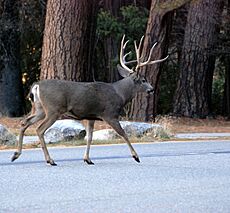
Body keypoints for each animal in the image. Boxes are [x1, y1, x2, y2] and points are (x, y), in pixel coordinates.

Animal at [11, 35, 168, 166]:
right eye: (143, 80)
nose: (152, 89)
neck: (120, 94)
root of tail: (36, 86)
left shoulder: (91, 116)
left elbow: (90, 137)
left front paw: (87, 159)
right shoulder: (109, 114)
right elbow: (123, 133)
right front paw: (136, 156)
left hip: (40, 108)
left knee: (24, 122)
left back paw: (16, 154)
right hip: (53, 109)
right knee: (39, 129)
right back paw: (50, 160)